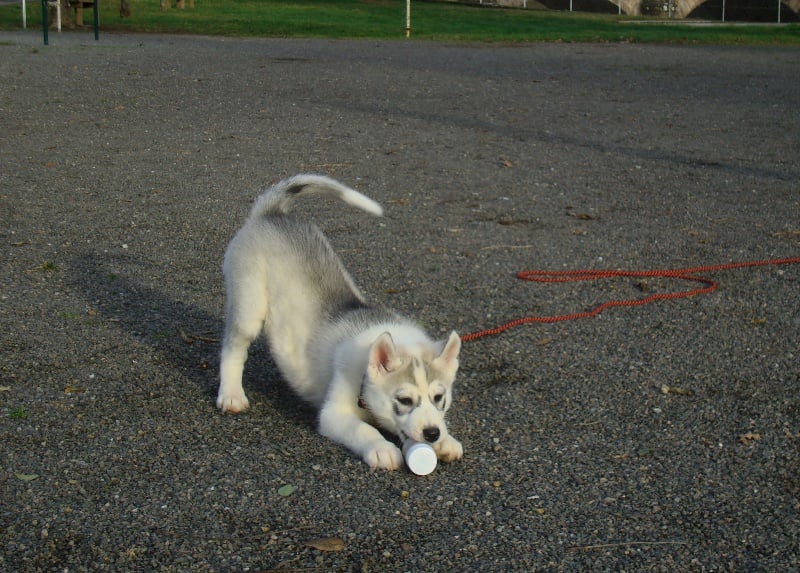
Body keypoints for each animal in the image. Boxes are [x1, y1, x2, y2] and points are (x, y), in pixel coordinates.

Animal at [216, 175, 463, 470]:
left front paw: (447, 440)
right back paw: (231, 394)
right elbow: (362, 429)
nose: (432, 433)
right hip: (249, 306)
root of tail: (270, 214)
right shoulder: (333, 414)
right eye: (404, 400)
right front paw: (382, 448)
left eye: (439, 398)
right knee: (232, 349)